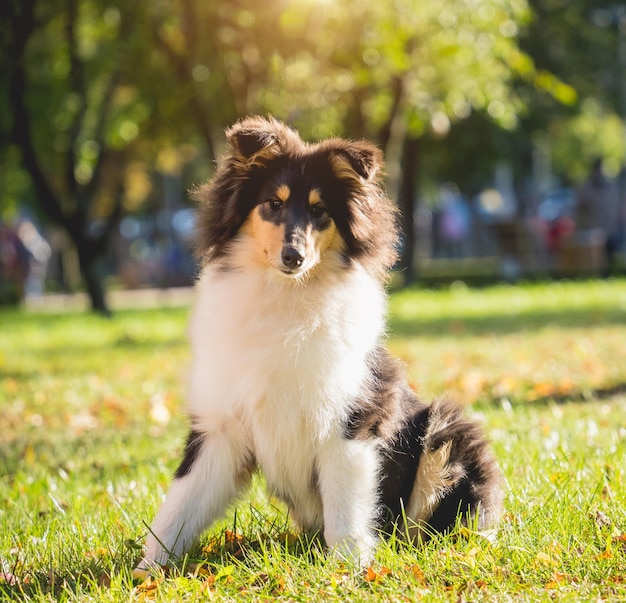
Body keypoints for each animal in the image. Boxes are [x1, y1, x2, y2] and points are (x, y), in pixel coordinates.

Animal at [134, 115, 500, 572]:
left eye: (319, 210)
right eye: (273, 203)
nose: (293, 257)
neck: (287, 298)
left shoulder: (351, 421)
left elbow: (346, 510)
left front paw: (350, 570)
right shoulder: (221, 426)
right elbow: (179, 505)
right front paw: (146, 572)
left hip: (447, 431)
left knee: (439, 524)